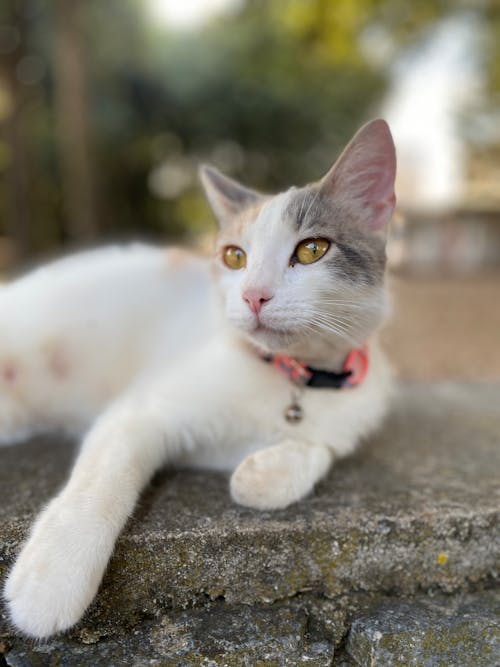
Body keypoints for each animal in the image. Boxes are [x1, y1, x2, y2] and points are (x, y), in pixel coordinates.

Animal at [1, 117, 396, 640]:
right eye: (234, 257)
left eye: (312, 249)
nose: (253, 296)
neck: (293, 374)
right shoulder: (141, 408)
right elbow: (101, 482)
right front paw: (51, 583)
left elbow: (322, 450)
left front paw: (261, 477)